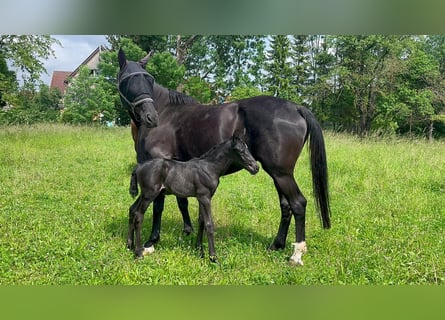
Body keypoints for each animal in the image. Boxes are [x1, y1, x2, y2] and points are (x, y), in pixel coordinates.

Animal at [126, 135, 258, 262]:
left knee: (132, 210)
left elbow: (201, 221)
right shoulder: (205, 198)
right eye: (240, 150)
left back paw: (129, 246)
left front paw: (199, 250)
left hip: (144, 194)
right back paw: (139, 253)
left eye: (247, 149)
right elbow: (209, 224)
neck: (209, 168)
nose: (255, 168)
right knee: (138, 215)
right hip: (149, 194)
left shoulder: (202, 198)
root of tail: (139, 166)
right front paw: (213, 257)